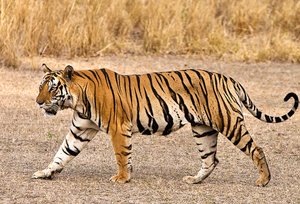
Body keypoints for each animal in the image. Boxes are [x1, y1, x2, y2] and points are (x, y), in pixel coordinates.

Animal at [32, 63, 298, 186]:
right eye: (40, 87)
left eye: (52, 88)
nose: (38, 102)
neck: (77, 100)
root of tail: (229, 79)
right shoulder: (81, 129)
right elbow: (62, 153)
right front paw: (45, 172)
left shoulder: (119, 128)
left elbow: (121, 155)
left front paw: (122, 178)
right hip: (203, 130)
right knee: (211, 159)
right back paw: (194, 180)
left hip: (228, 121)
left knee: (256, 148)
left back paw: (264, 180)